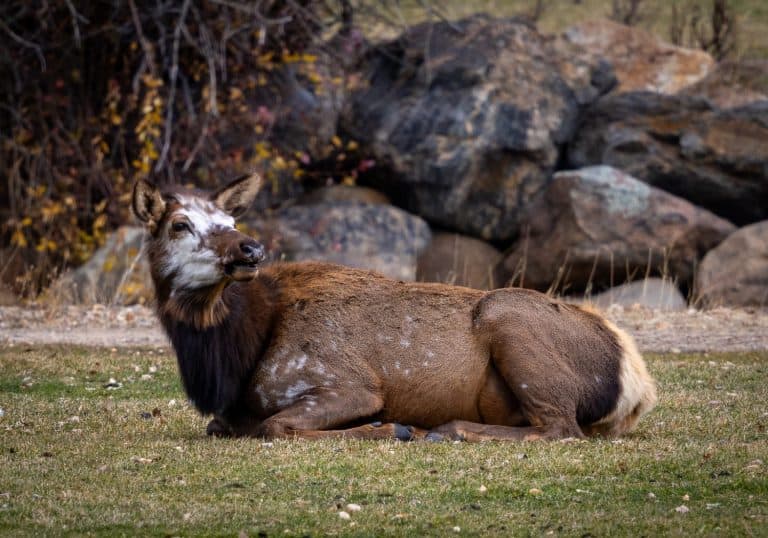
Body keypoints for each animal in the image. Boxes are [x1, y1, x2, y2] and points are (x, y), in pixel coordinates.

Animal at [132, 173, 657, 442]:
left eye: (230, 218)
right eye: (180, 224)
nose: (250, 249)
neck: (232, 364)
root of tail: (636, 383)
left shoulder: (346, 384)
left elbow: (275, 425)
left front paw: (389, 428)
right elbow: (221, 426)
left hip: (509, 320)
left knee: (560, 428)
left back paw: (447, 429)